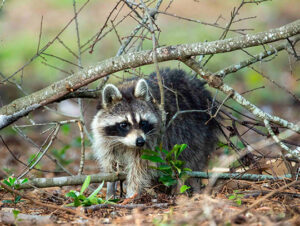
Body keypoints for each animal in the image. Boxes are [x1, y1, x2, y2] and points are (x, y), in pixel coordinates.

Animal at [91, 69, 218, 198]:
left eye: (142, 123)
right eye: (124, 124)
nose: (140, 141)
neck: (124, 142)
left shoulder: (151, 141)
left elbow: (140, 168)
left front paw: (132, 193)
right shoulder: (106, 140)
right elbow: (110, 164)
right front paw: (110, 190)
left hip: (195, 135)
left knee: (191, 160)